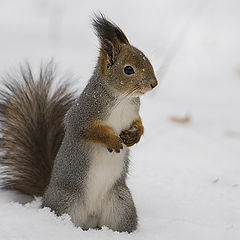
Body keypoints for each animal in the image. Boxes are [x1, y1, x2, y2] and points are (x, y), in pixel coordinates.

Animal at [0, 15, 158, 232]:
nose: (154, 84)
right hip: (67, 202)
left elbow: (139, 123)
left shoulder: (133, 113)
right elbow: (89, 130)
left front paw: (135, 135)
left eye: (146, 58)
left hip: (121, 203)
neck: (122, 99)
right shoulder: (81, 115)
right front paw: (112, 140)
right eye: (128, 69)